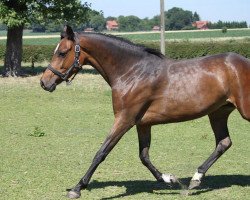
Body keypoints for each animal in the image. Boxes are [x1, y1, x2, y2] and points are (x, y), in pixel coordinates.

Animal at [40, 25, 249, 198]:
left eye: (62, 53)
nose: (44, 82)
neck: (132, 72)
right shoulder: (142, 124)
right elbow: (144, 156)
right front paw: (169, 179)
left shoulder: (124, 119)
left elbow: (101, 152)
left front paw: (77, 188)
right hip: (218, 112)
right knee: (223, 142)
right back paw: (195, 179)